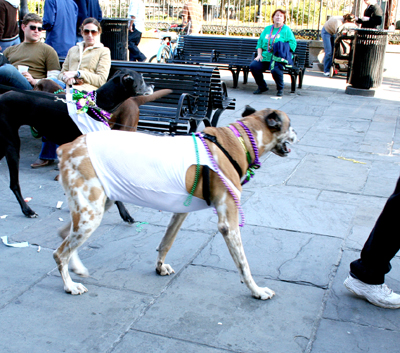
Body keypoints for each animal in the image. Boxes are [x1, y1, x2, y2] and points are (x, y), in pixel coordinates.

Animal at [53, 106, 296, 298]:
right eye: (290, 125)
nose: (297, 133)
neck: (239, 140)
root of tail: (67, 146)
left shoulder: (180, 211)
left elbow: (166, 243)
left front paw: (160, 268)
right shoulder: (229, 223)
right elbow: (244, 265)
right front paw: (257, 290)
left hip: (95, 207)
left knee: (64, 234)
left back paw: (77, 268)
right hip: (91, 214)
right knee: (59, 253)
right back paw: (69, 285)